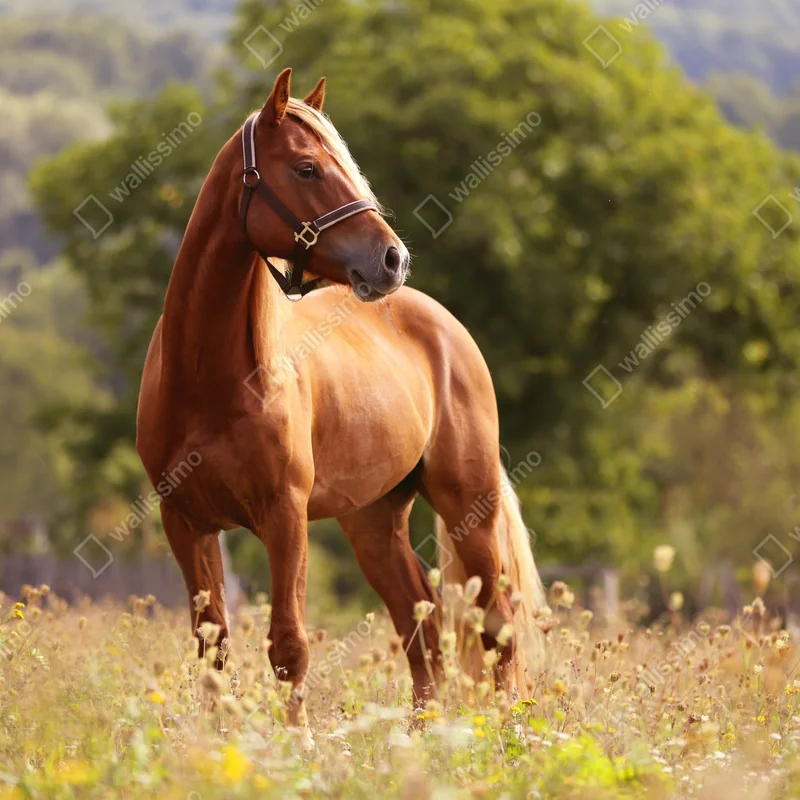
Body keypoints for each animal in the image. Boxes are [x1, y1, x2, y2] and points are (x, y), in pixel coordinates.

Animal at [136, 67, 546, 732]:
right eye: (306, 168)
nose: (392, 258)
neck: (210, 382)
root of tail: (445, 326)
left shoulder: (284, 516)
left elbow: (288, 643)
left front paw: (298, 743)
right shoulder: (186, 522)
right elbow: (212, 645)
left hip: (469, 505)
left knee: (497, 623)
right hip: (374, 520)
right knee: (421, 624)